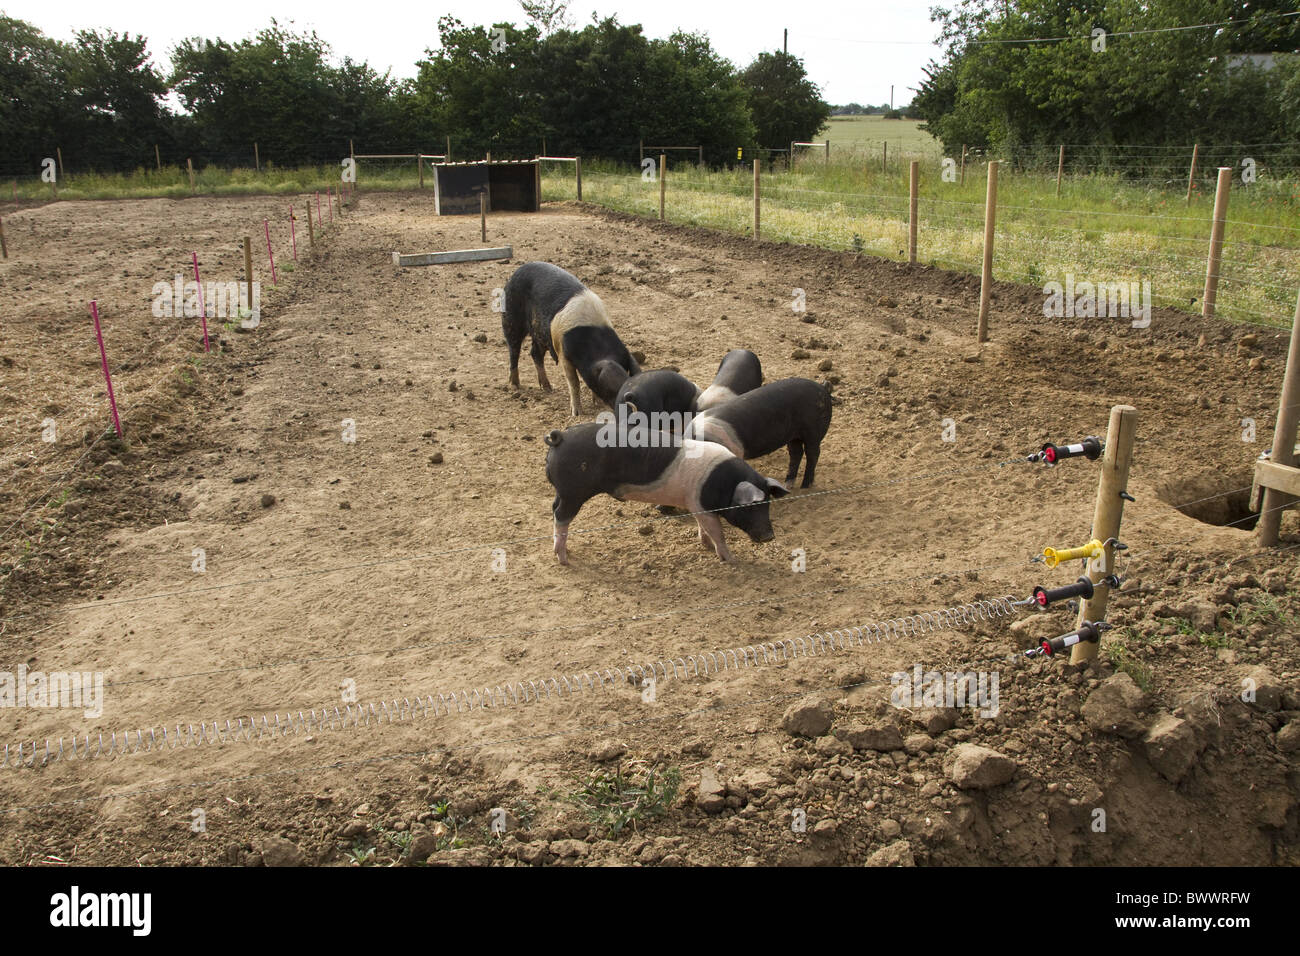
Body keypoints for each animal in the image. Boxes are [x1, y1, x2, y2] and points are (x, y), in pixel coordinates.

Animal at [501, 261, 639, 416]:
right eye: (611, 388)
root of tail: (516, 272)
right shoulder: (563, 352)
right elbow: (574, 382)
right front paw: (576, 413)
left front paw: (597, 404)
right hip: (511, 317)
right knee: (514, 350)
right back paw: (514, 385)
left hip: (540, 333)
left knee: (535, 353)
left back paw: (548, 388)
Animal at [543, 421, 785, 564]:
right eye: (749, 507)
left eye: (768, 504)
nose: (769, 536)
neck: (722, 482)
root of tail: (560, 437)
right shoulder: (702, 506)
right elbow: (718, 533)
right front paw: (732, 560)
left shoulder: (696, 505)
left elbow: (704, 528)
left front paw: (706, 545)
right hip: (573, 491)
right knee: (561, 517)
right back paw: (563, 559)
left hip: (564, 491)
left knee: (554, 509)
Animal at [681, 377, 832, 489]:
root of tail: (822, 388)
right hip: (793, 435)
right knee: (796, 453)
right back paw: (787, 485)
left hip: (813, 430)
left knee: (813, 453)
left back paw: (805, 486)